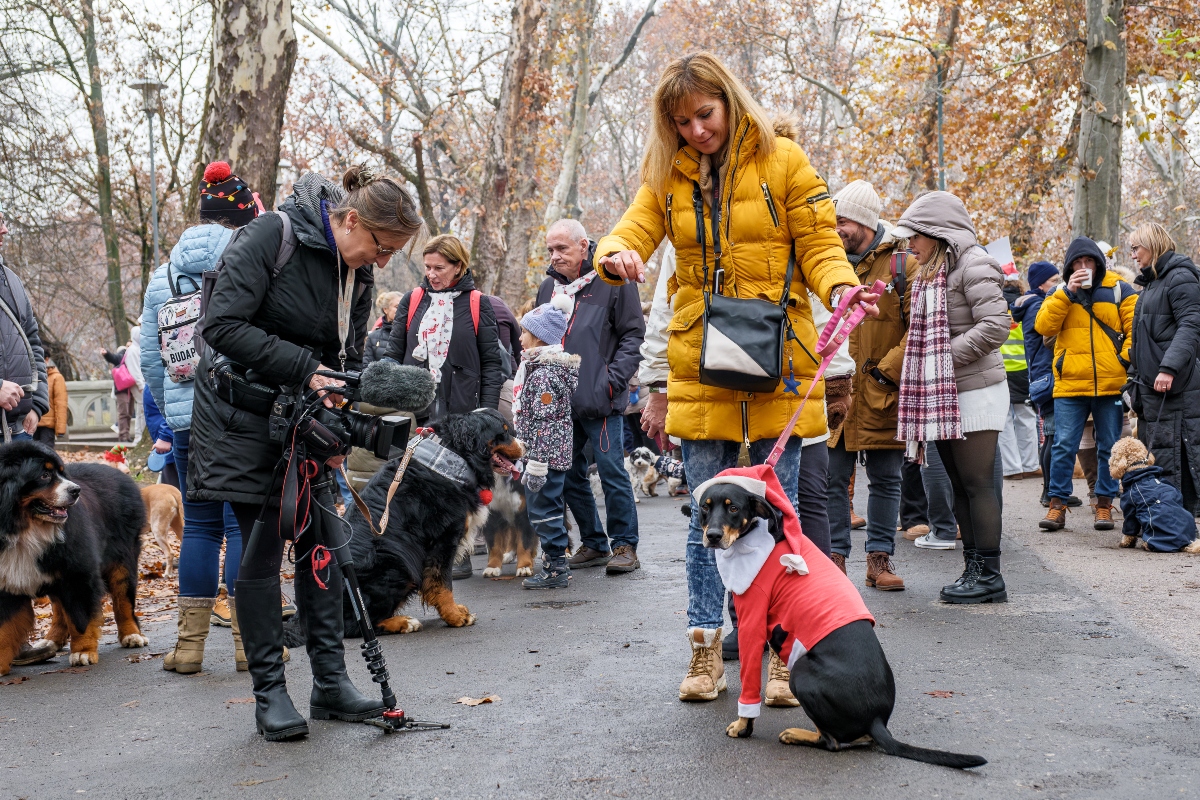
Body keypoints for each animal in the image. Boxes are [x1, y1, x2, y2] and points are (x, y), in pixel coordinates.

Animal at [0, 441, 147, 671]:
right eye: (44, 475)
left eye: (61, 472)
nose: (76, 490)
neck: (25, 531)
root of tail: (120, 475)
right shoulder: (7, 584)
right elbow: (5, 630)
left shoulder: (77, 574)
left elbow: (80, 618)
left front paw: (83, 651)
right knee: (59, 608)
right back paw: (51, 640)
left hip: (122, 560)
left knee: (123, 600)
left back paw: (131, 635)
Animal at [340, 410, 523, 633]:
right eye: (503, 433)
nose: (526, 445)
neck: (455, 456)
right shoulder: (443, 539)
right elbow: (442, 583)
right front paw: (455, 616)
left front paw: (455, 612)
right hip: (395, 563)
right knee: (356, 623)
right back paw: (403, 622)